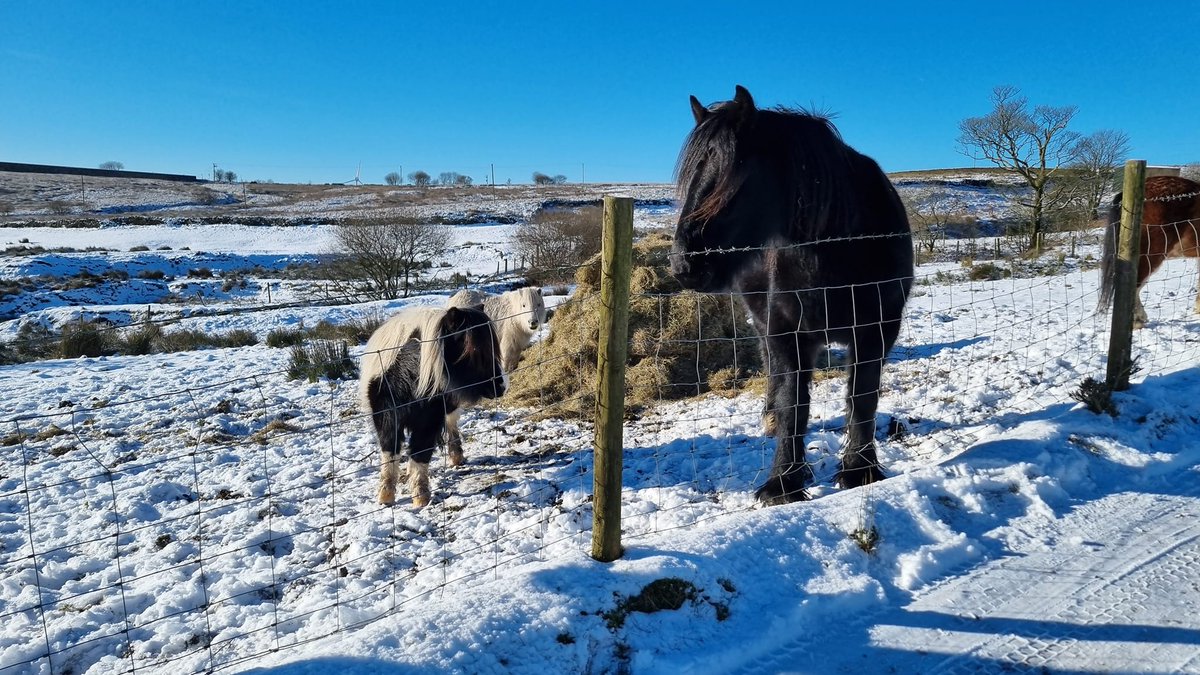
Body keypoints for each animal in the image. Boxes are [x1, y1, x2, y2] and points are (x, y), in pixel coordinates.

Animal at [355, 305, 506, 504]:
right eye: (474, 351)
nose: (501, 387)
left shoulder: (428, 422)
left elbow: (421, 454)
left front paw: (421, 496)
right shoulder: (386, 420)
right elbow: (390, 454)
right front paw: (386, 495)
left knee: (451, 425)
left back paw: (456, 457)